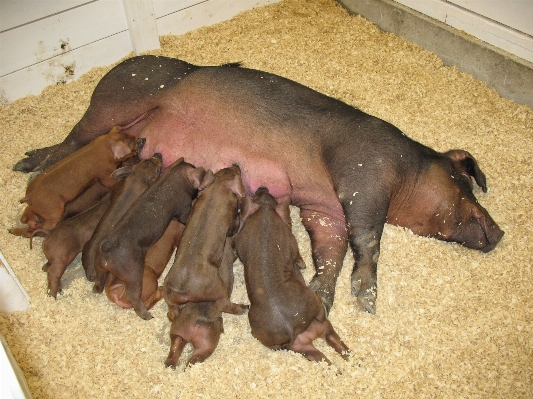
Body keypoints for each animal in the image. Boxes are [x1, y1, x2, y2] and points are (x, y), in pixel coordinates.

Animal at [13, 55, 502, 316]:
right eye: (464, 181)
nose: (500, 232)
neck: (407, 171)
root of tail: (117, 67)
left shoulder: (323, 207)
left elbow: (331, 249)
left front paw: (322, 298)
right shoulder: (365, 174)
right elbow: (367, 237)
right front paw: (366, 300)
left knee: (70, 147)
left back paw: (25, 165)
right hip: (114, 104)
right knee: (69, 143)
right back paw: (26, 166)